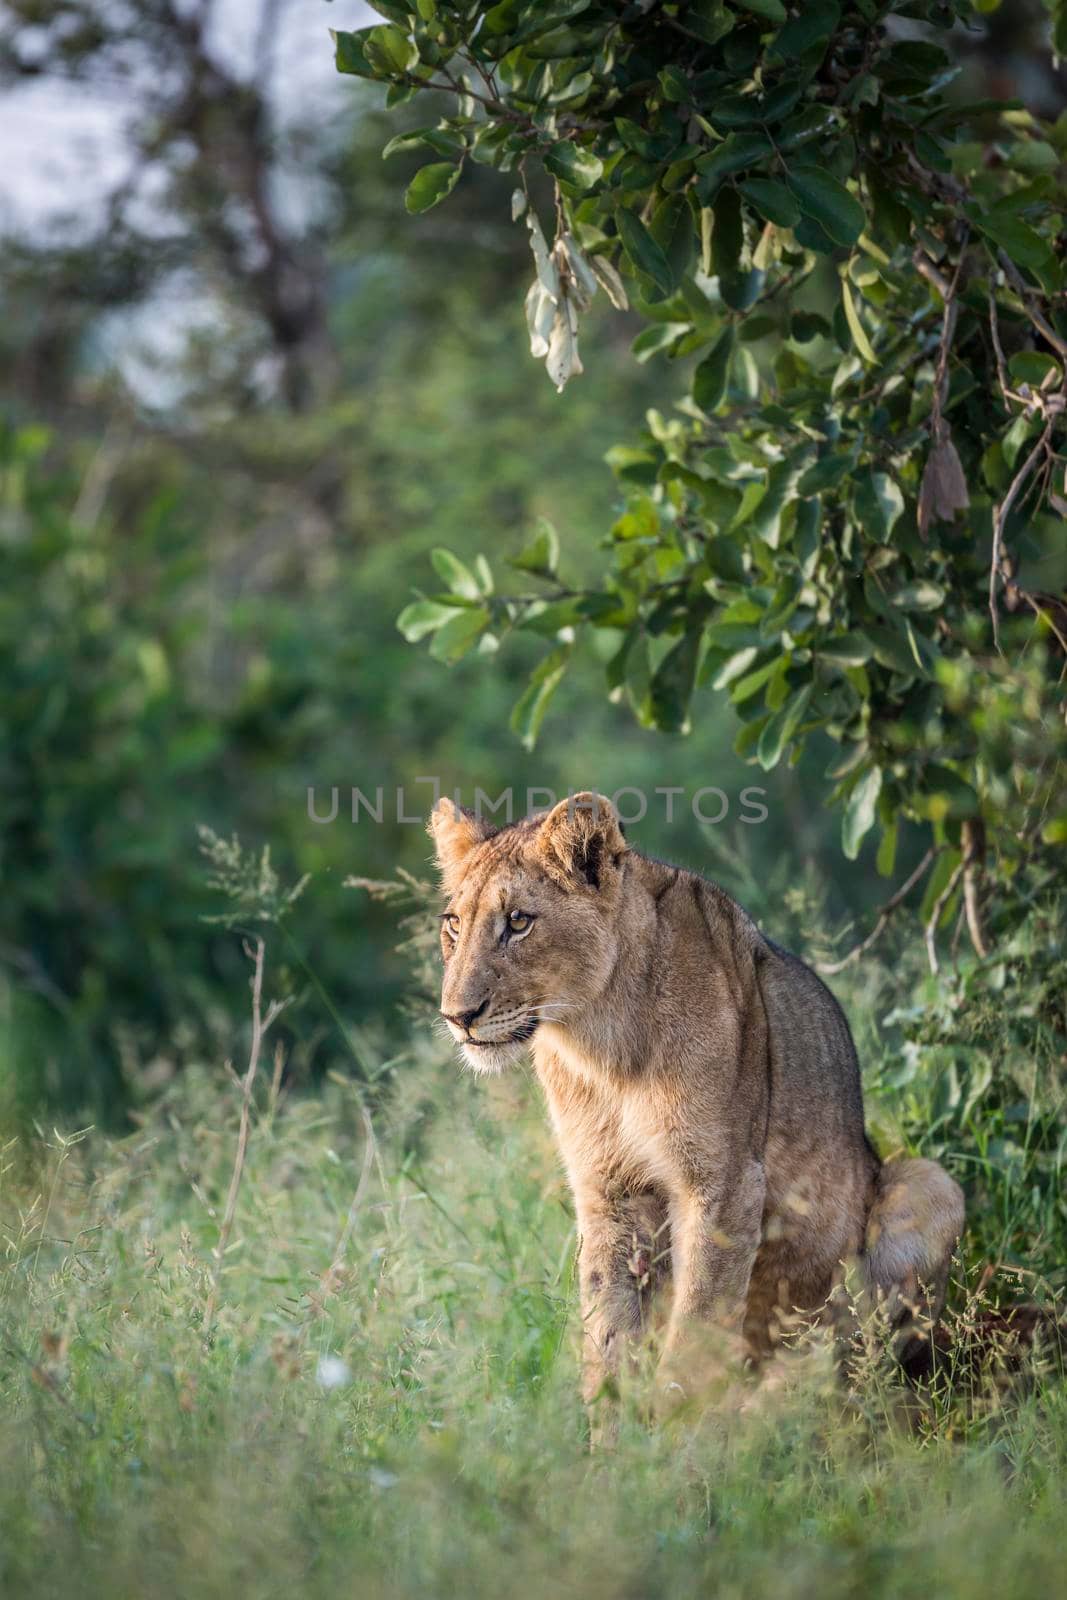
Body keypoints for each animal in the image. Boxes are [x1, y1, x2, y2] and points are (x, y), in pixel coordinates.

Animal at [428, 787, 966, 1414]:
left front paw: (674, 1428)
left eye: (518, 921)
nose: (457, 1017)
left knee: (857, 1366)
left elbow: (697, 1330)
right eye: (453, 925)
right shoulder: (607, 1191)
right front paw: (610, 1430)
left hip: (932, 1185)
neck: (601, 1045)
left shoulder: (725, 1183)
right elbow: (608, 1334)